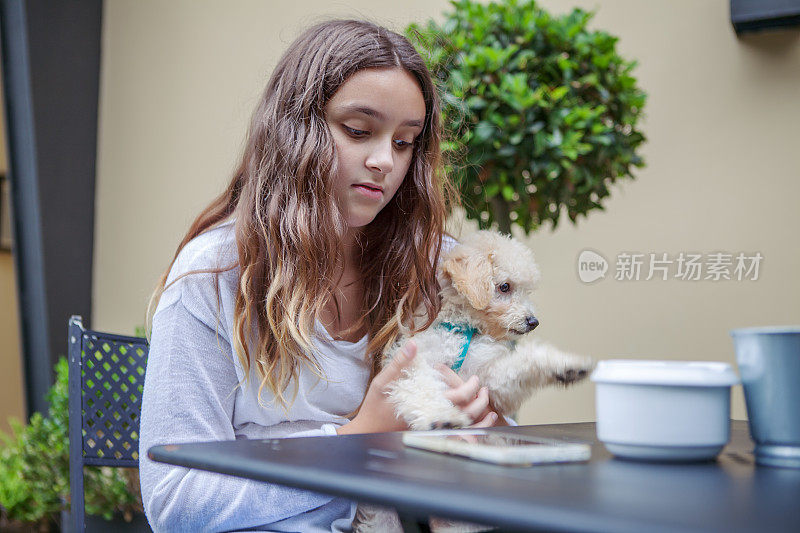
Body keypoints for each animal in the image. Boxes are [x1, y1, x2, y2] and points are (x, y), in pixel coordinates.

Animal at [354, 231, 592, 528]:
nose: (533, 321)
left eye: (526, 291)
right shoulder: (411, 364)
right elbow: (421, 385)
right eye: (504, 287)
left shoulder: (490, 382)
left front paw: (565, 365)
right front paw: (440, 417)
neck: (461, 330)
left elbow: (521, 365)